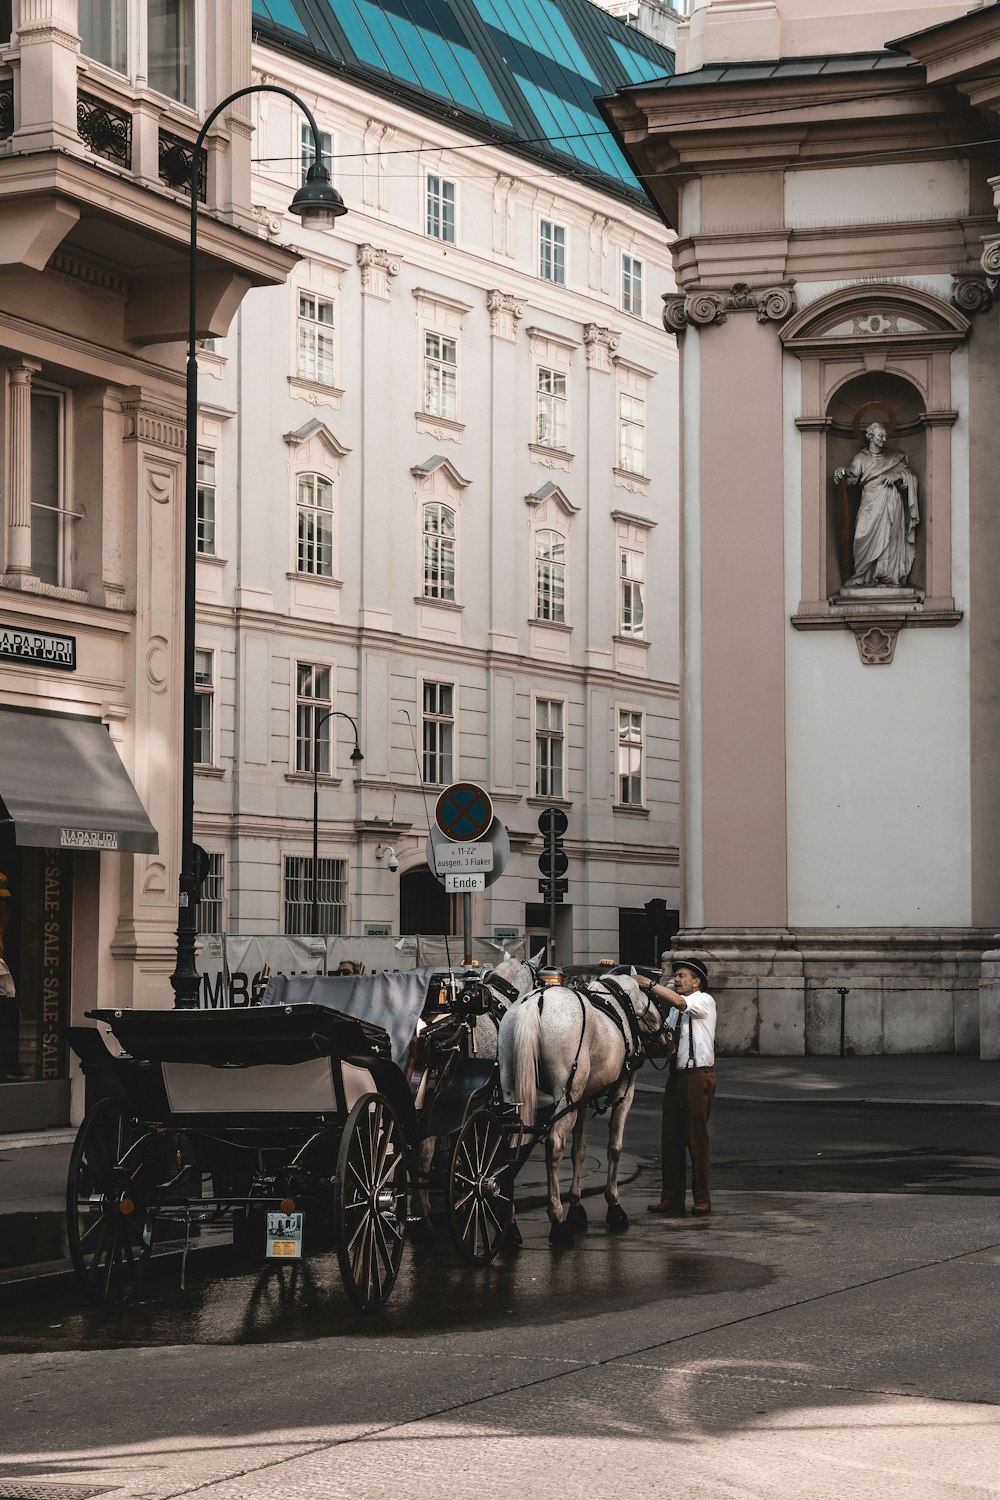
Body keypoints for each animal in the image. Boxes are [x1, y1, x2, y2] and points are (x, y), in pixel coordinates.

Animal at [497, 972, 665, 1242]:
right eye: (659, 1004)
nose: (668, 1039)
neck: (620, 1004)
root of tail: (536, 1001)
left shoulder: (583, 1100)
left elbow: (579, 1151)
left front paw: (576, 1206)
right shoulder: (624, 1092)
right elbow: (614, 1147)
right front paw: (614, 1206)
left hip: (515, 1087)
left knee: (513, 1145)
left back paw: (510, 1224)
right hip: (566, 1095)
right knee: (554, 1145)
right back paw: (557, 1221)